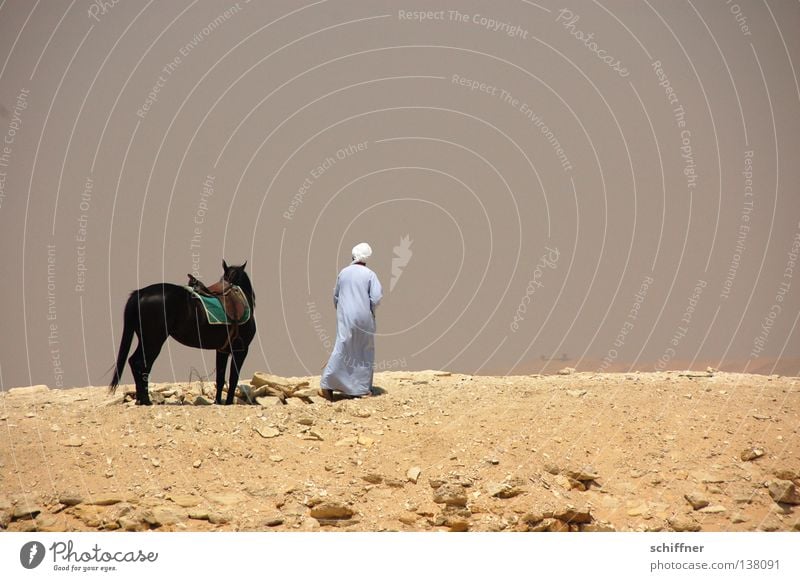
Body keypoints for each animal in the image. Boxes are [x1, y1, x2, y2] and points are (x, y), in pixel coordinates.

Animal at [109, 262, 256, 404]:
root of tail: (141, 294)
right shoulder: (241, 350)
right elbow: (233, 378)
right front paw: (229, 402)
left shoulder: (222, 350)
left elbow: (220, 378)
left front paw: (218, 402)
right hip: (154, 341)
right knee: (142, 364)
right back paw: (146, 401)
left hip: (145, 340)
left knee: (134, 362)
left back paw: (140, 400)